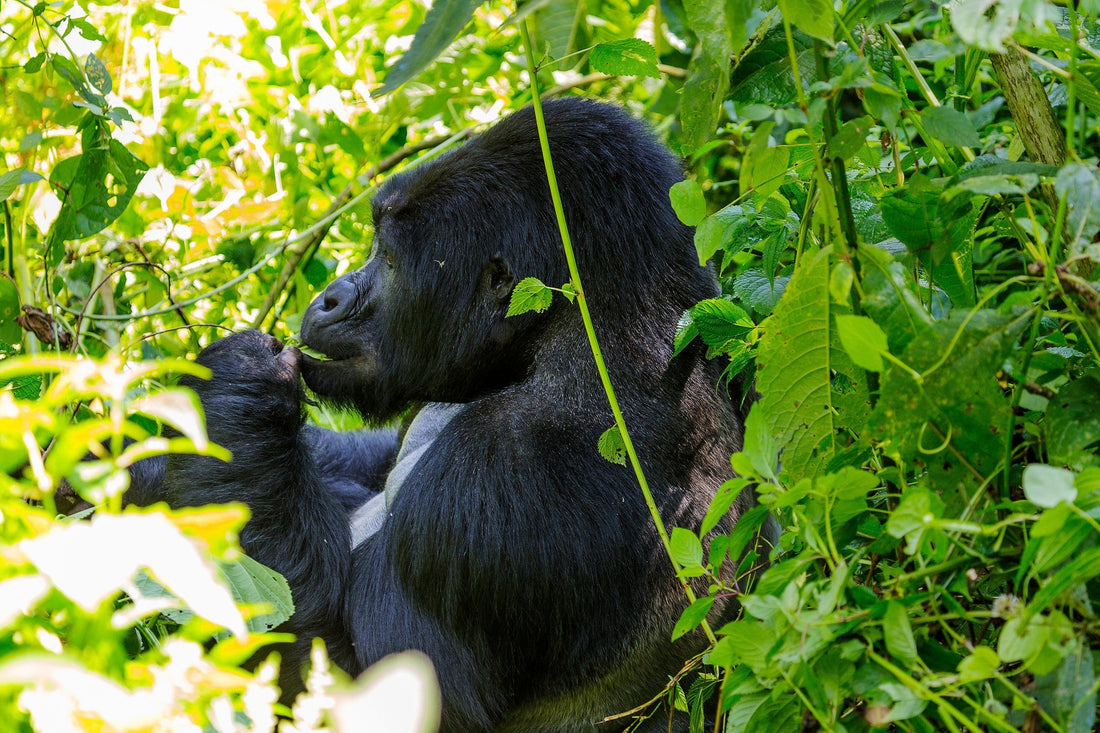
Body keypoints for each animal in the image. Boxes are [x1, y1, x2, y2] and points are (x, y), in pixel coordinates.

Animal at [137, 98, 774, 730]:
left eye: (390, 260)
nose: (330, 298)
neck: (607, 340)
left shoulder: (499, 474)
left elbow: (392, 692)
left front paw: (238, 392)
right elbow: (374, 458)